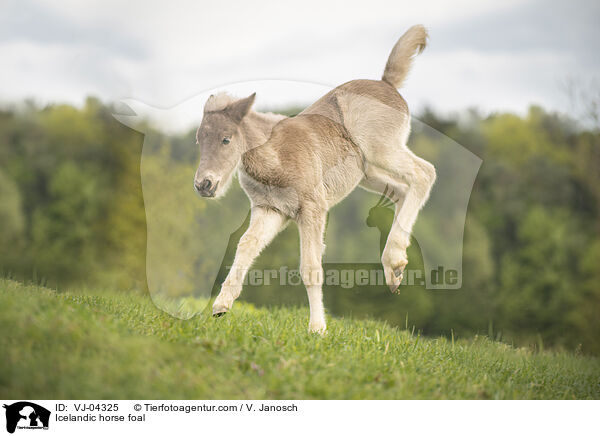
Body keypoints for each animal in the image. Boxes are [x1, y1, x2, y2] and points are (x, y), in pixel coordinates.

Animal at [197, 25, 436, 332]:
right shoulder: (271, 210)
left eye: (226, 139)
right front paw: (221, 306)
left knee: (424, 173)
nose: (204, 185)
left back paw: (393, 259)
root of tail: (388, 84)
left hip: (383, 151)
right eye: (198, 140)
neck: (276, 157)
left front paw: (317, 328)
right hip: (368, 172)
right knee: (401, 191)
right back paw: (394, 270)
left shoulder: (312, 208)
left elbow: (310, 267)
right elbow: (247, 244)